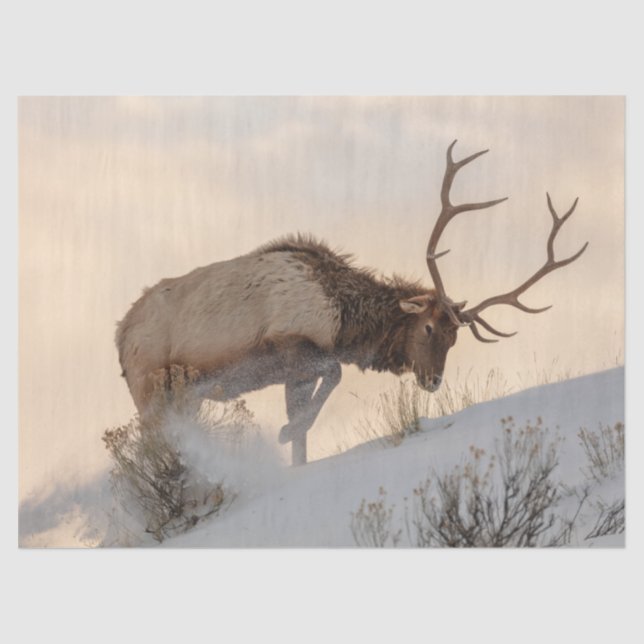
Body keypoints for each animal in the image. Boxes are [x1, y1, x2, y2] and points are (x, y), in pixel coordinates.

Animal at [116, 140, 588, 465]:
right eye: (429, 327)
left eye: (456, 339)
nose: (433, 380)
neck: (344, 320)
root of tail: (119, 335)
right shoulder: (290, 344)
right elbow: (335, 375)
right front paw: (284, 432)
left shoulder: (294, 373)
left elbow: (306, 429)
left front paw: (293, 444)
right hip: (149, 389)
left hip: (183, 396)